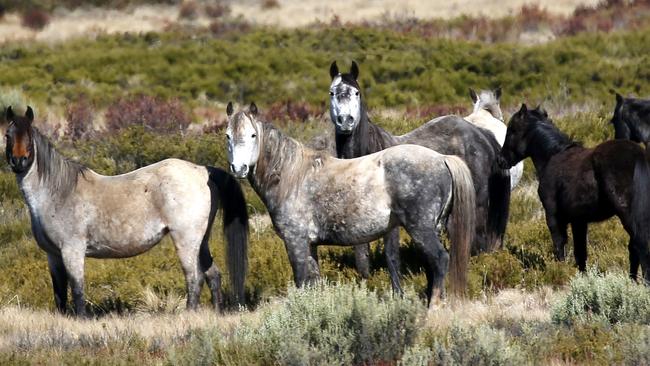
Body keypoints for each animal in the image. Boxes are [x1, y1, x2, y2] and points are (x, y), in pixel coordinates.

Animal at [225, 102, 474, 300]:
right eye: (227, 135)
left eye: (253, 135)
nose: (239, 168)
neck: (291, 176)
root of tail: (442, 158)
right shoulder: (310, 245)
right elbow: (314, 283)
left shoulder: (295, 241)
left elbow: (301, 281)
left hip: (420, 228)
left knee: (440, 260)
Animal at [502, 104, 648, 282]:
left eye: (512, 130)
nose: (501, 160)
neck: (553, 156)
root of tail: (639, 155)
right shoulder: (579, 220)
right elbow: (581, 253)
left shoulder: (554, 216)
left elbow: (560, 244)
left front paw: (561, 272)